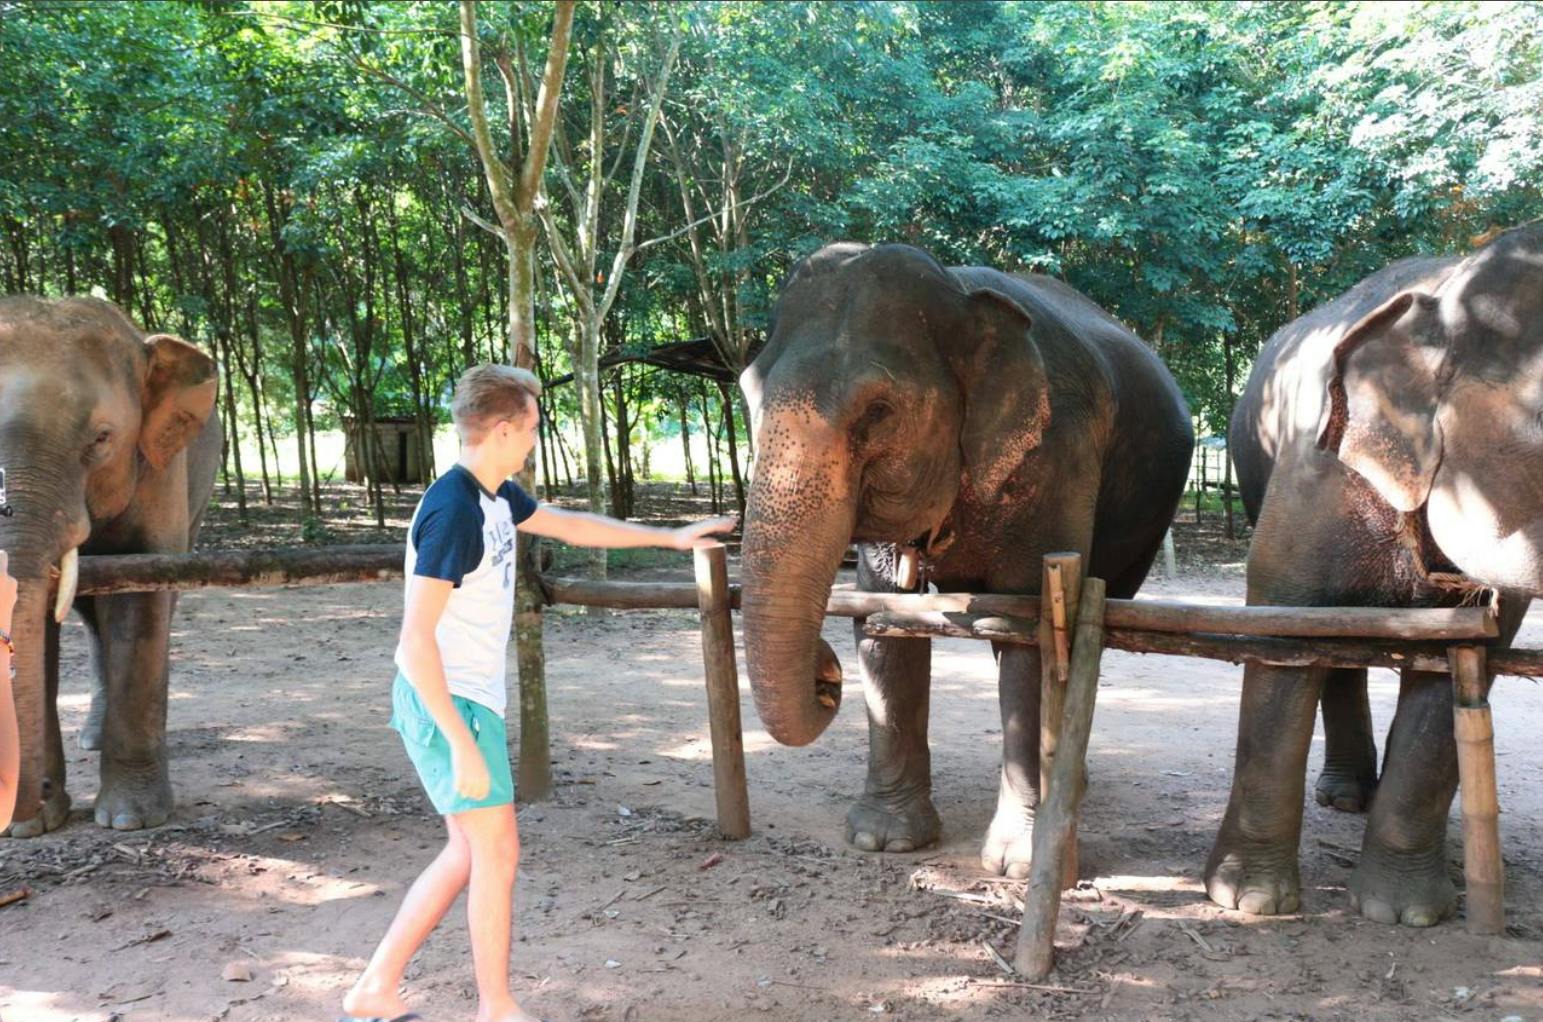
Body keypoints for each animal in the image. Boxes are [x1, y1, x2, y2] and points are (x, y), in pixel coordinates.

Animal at [0, 296, 221, 836]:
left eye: (102, 438)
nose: (35, 792)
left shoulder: (161, 468)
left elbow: (141, 600)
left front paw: (130, 819)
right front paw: (31, 828)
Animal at [738, 242, 1193, 876]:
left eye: (878, 410)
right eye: (747, 394)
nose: (825, 678)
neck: (958, 294)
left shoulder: (1059, 455)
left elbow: (1030, 628)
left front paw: (1018, 863)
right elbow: (882, 622)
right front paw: (885, 839)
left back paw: (1071, 785)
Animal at [1206, 223, 1543, 926]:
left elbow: (1462, 670)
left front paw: (1402, 913)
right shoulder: (1312, 472)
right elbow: (1286, 642)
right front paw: (1248, 901)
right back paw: (1344, 798)